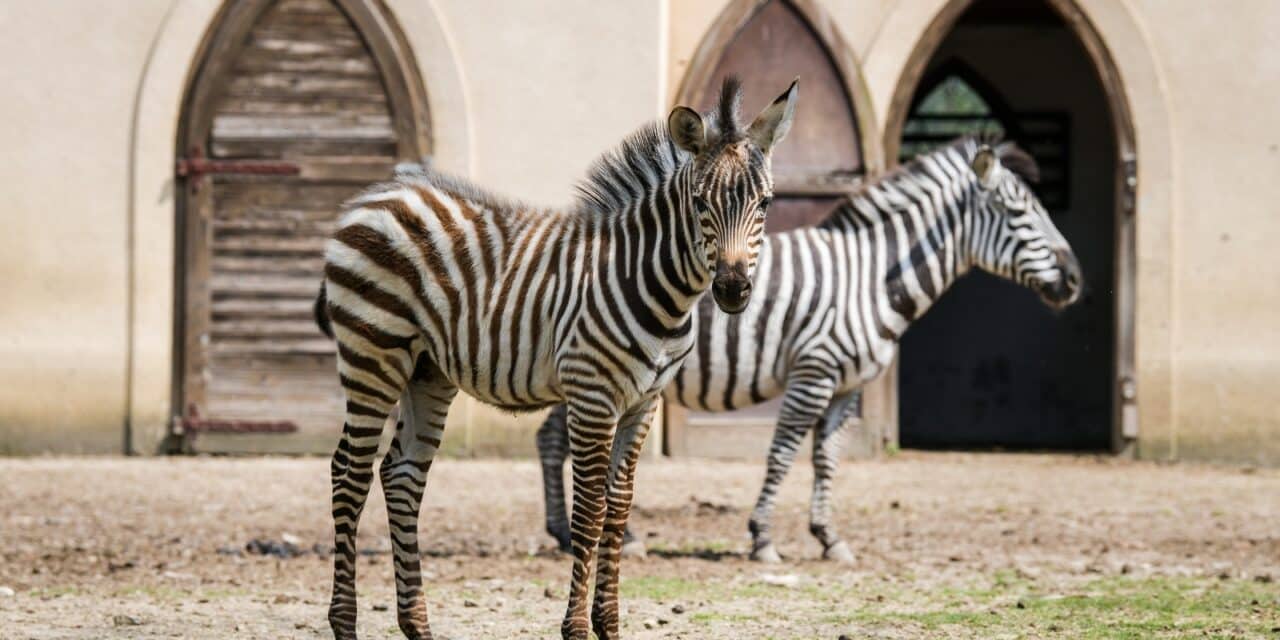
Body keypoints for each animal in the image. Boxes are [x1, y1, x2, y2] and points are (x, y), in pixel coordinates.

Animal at [313, 77, 798, 640]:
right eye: (700, 202)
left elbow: (618, 508)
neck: (657, 287)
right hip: (373, 354)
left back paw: (418, 626)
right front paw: (578, 628)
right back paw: (345, 623)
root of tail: (376, 196)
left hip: (426, 370)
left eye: (765, 203)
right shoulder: (593, 396)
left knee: (402, 475)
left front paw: (609, 625)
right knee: (349, 473)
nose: (733, 289)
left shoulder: (644, 403)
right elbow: (588, 510)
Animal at [537, 137, 1083, 564]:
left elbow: (826, 459)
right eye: (1018, 213)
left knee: (551, 439)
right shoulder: (813, 372)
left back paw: (566, 533)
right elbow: (782, 453)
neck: (871, 279)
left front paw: (828, 538)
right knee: (561, 441)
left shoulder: (847, 386)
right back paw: (605, 536)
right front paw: (762, 538)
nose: (1075, 279)